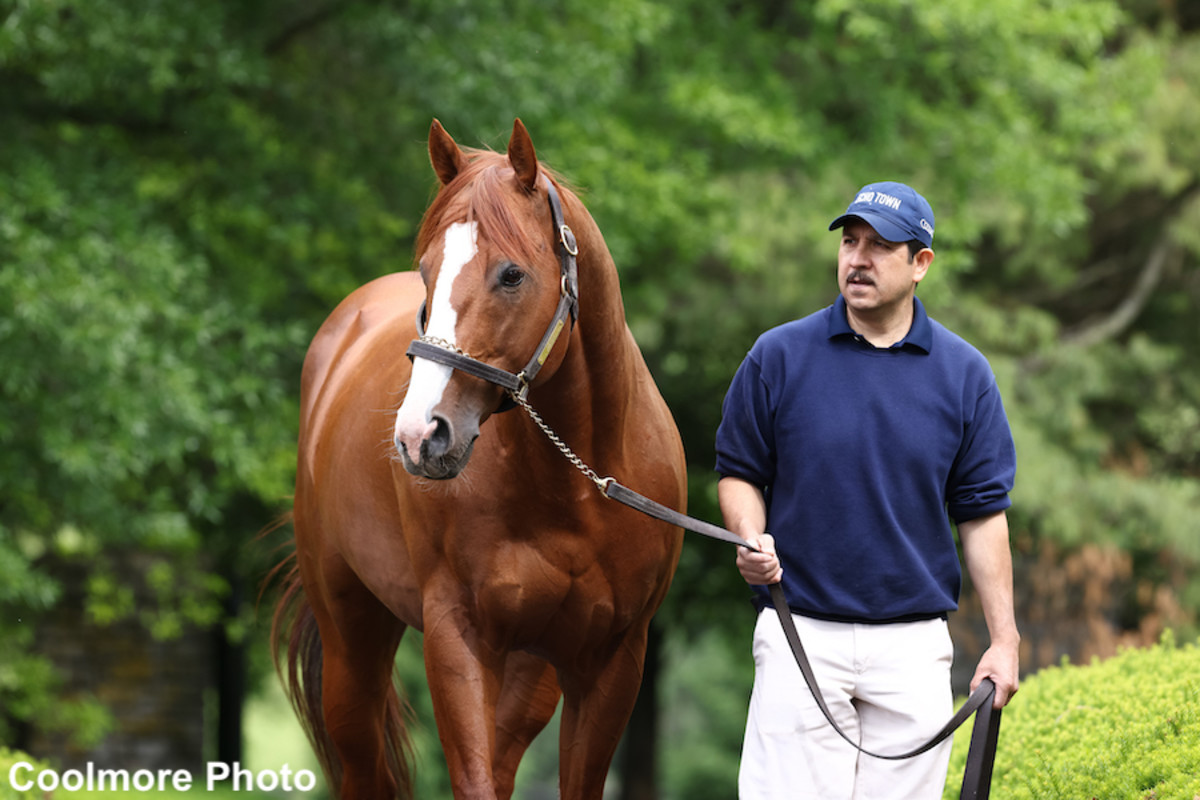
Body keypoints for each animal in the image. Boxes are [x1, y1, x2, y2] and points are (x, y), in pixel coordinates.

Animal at [274, 120, 686, 800]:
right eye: (426, 271)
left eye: (511, 275)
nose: (420, 436)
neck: (575, 488)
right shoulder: (458, 638)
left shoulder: (611, 663)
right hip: (351, 641)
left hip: (530, 676)